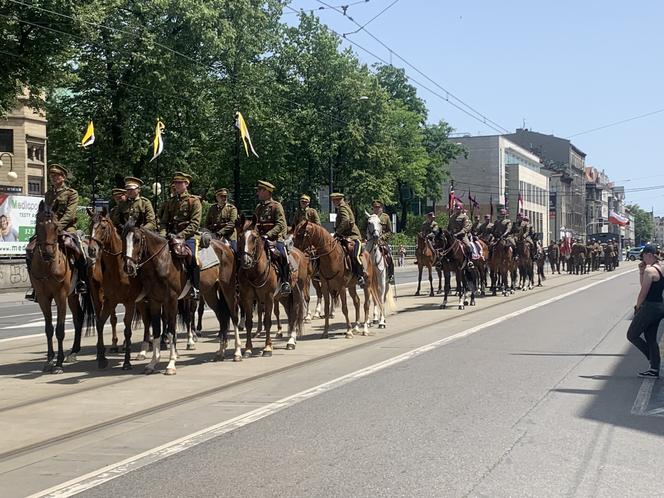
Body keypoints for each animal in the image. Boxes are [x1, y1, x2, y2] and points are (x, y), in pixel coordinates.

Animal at [29, 202, 94, 374]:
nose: (48, 253)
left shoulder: (60, 296)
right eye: (38, 224)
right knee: (78, 317)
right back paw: (73, 352)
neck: (47, 266)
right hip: (72, 295)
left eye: (56, 226)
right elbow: (48, 328)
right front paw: (49, 360)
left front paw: (58, 363)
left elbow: (60, 329)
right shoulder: (43, 298)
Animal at [122, 222, 189, 374]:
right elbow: (157, 330)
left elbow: (171, 330)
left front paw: (171, 364)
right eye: (123, 239)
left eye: (137, 240)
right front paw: (152, 363)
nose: (128, 267)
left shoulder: (172, 300)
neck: (162, 263)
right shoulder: (155, 301)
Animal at [237, 216, 308, 356]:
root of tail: (299, 253)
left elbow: (268, 321)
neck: (255, 272)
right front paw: (248, 348)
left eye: (254, 237)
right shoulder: (247, 298)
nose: (246, 261)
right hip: (283, 296)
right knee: (290, 312)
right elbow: (249, 323)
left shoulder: (268, 296)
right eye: (240, 236)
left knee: (295, 311)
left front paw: (268, 347)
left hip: (297, 291)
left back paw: (291, 340)